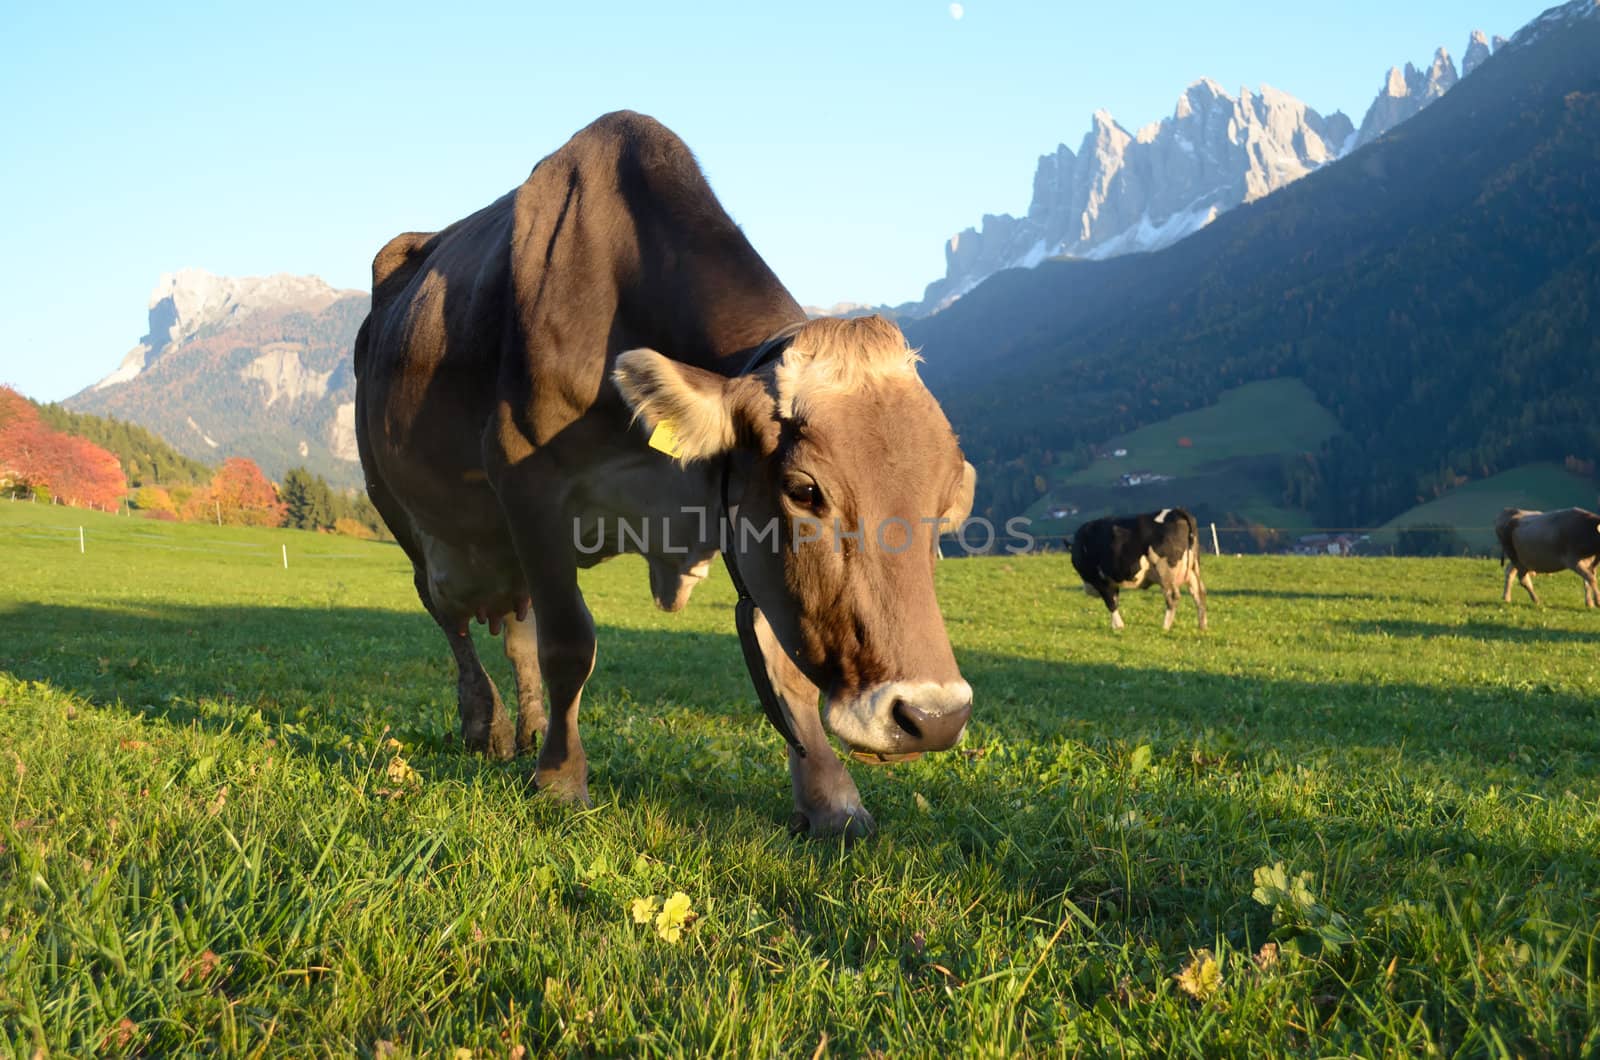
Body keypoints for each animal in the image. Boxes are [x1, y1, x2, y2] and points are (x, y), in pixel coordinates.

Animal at [355, 109, 972, 839]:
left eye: (945, 507)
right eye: (805, 490)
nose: (933, 717)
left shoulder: (735, 515)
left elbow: (781, 670)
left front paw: (831, 799)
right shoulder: (528, 481)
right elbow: (570, 643)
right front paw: (560, 782)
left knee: (515, 626)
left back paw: (530, 723)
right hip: (407, 518)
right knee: (449, 618)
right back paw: (488, 726)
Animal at [1068, 509, 1203, 630]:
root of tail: (1176, 511)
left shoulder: (1100, 581)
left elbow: (1111, 602)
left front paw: (1119, 626)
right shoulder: (1112, 582)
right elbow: (1115, 599)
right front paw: (1114, 626)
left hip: (1166, 572)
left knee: (1173, 597)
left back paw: (1165, 627)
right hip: (1192, 570)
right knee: (1198, 593)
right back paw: (1202, 626)